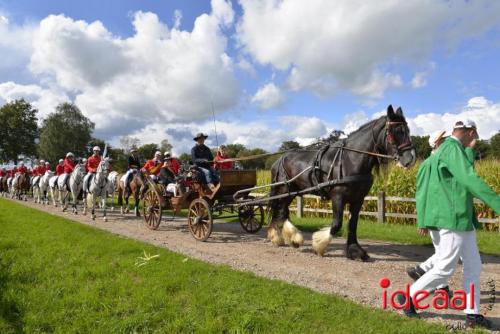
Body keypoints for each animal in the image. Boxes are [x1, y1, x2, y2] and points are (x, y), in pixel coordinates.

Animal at [268, 105, 416, 262]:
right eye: (395, 131)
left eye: (407, 130)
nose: (411, 158)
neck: (350, 159)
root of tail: (279, 160)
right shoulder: (338, 197)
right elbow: (337, 224)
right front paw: (319, 245)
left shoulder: (358, 199)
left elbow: (352, 224)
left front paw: (355, 251)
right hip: (283, 190)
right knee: (280, 210)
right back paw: (279, 237)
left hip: (291, 192)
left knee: (282, 211)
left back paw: (290, 238)